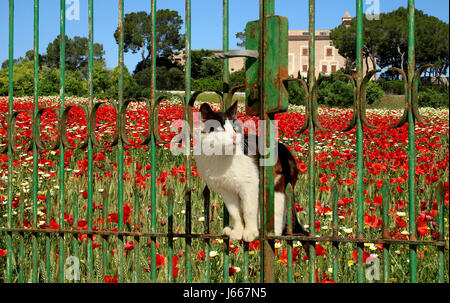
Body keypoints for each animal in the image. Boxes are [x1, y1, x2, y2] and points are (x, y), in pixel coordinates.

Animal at [193, 101, 306, 243]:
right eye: (220, 129)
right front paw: (238, 231)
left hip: (278, 188)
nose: (234, 136)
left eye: (235, 128)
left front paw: (250, 232)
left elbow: (249, 211)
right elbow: (235, 213)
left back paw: (268, 231)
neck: (220, 156)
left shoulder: (250, 185)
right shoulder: (226, 191)